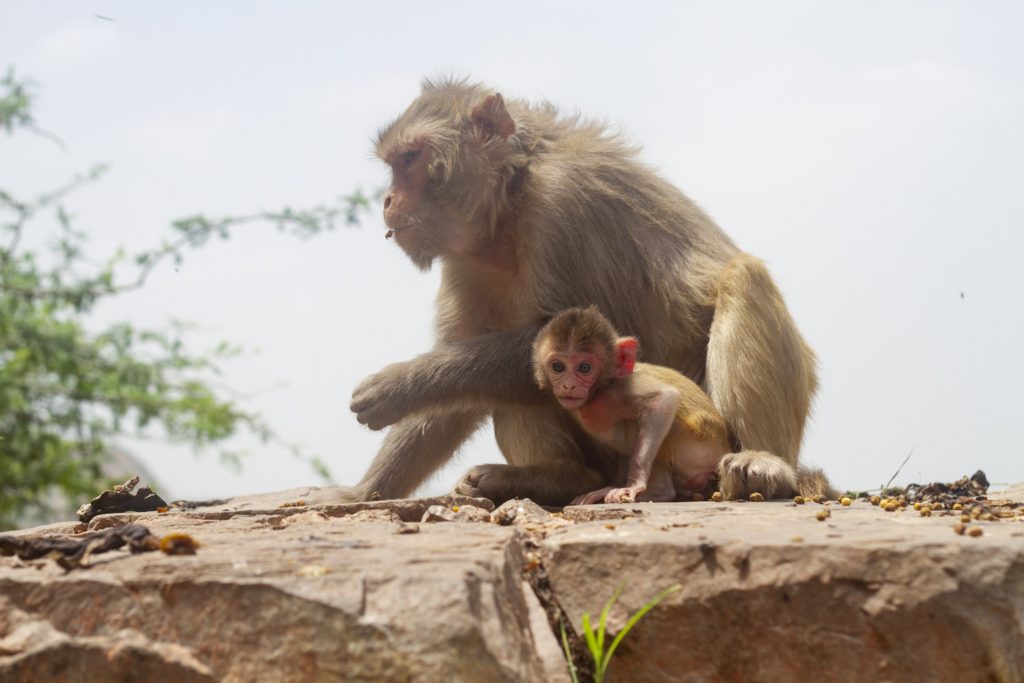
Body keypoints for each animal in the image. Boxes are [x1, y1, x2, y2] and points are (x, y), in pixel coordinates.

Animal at [532, 307, 733, 505]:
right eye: (558, 367)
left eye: (584, 368)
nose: (568, 385)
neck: (599, 392)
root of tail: (724, 448)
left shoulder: (620, 390)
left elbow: (664, 399)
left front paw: (634, 483)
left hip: (694, 446)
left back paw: (659, 492)